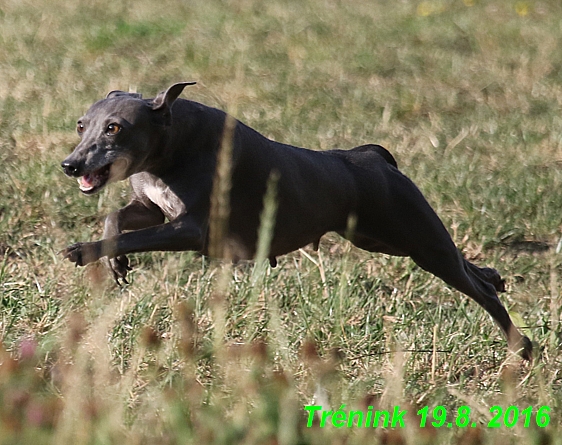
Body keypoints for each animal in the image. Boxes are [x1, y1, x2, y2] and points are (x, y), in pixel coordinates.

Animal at [60, 81, 528, 360]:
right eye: (82, 125)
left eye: (115, 128)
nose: (70, 164)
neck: (171, 144)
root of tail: (372, 157)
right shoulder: (153, 208)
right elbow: (116, 219)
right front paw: (112, 261)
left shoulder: (192, 228)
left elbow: (131, 235)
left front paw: (85, 251)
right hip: (384, 239)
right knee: (471, 269)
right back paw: (496, 276)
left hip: (415, 239)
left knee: (479, 291)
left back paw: (522, 345)